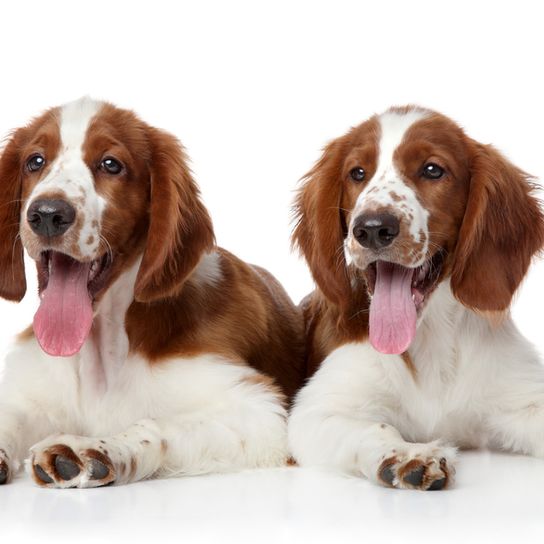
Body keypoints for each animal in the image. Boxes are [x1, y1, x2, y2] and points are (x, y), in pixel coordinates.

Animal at [0, 98, 306, 488]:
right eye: (35, 161)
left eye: (111, 164)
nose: (48, 214)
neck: (103, 349)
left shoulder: (260, 412)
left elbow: (155, 425)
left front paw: (89, 448)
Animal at [288, 106, 544, 488]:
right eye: (357, 173)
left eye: (432, 169)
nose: (372, 228)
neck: (430, 340)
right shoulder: (317, 411)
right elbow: (375, 428)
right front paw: (408, 454)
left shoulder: (525, 395)